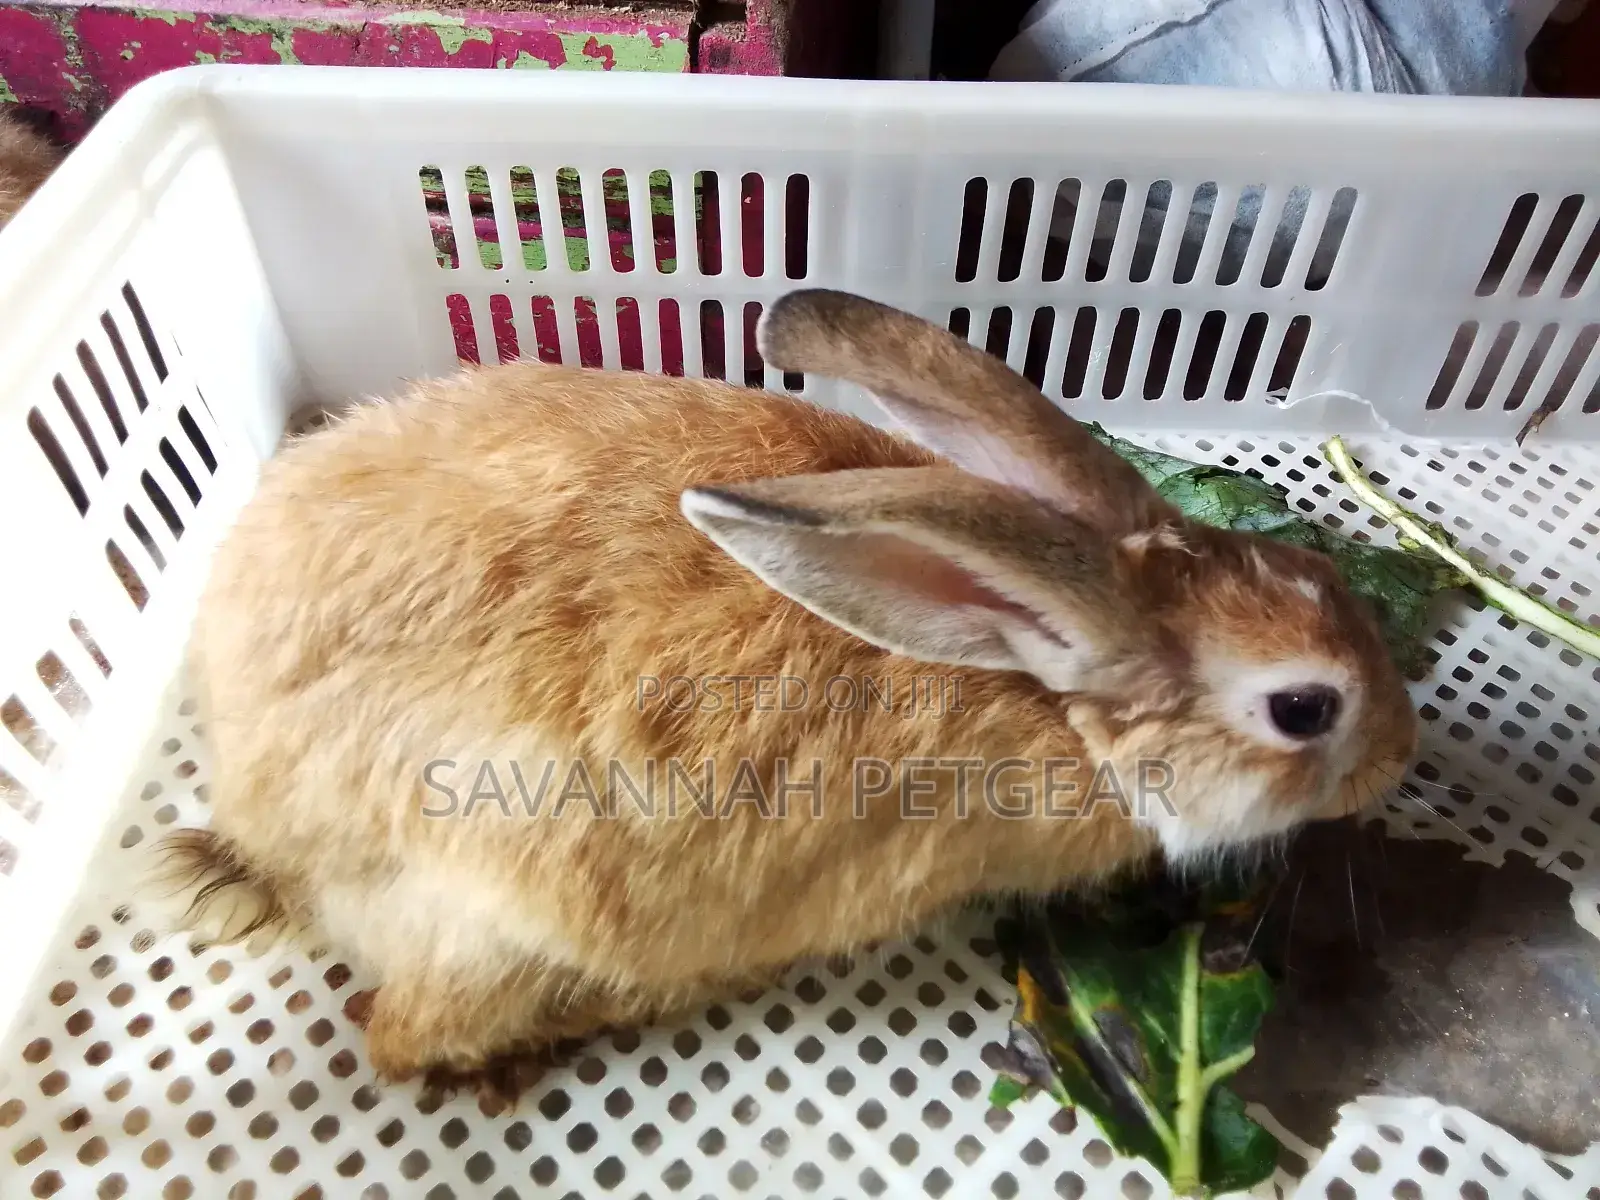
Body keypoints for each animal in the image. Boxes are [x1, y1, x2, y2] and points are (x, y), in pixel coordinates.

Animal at [150, 288, 1419, 1084]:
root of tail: (263, 831)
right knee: (402, 1038)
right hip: (495, 923)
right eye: (1303, 708)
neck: (1048, 685)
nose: (1401, 754)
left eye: (1327, 579)